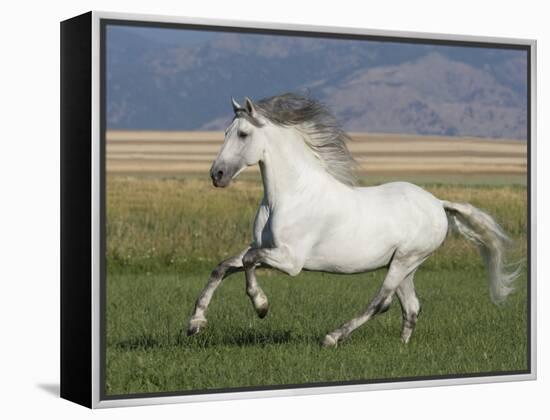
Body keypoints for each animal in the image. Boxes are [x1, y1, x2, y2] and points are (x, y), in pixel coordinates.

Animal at [188, 93, 520, 346]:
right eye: (225, 133)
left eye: (243, 134)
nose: (217, 175)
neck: (289, 195)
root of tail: (438, 204)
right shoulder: (262, 246)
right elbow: (223, 267)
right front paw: (195, 324)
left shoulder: (290, 260)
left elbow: (248, 263)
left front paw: (261, 306)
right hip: (405, 265)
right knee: (411, 307)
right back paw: (402, 349)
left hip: (406, 260)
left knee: (382, 302)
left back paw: (332, 337)